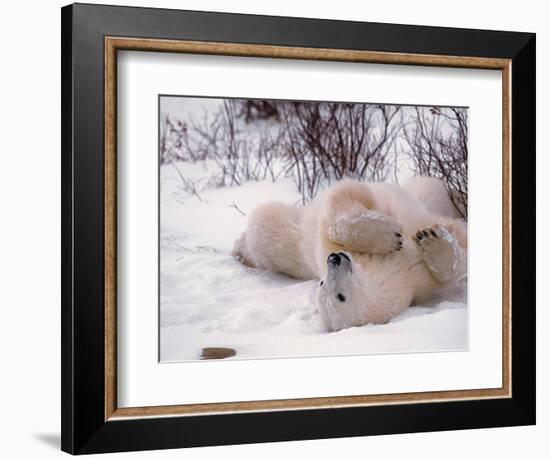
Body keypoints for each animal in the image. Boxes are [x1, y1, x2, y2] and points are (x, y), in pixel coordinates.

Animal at [231, 177, 468, 330]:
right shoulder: (412, 279)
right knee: (266, 226)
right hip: (289, 244)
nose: (335, 258)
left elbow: (342, 200)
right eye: (339, 296)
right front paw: (431, 241)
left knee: (429, 188)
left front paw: (417, 236)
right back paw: (241, 249)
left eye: (322, 283)